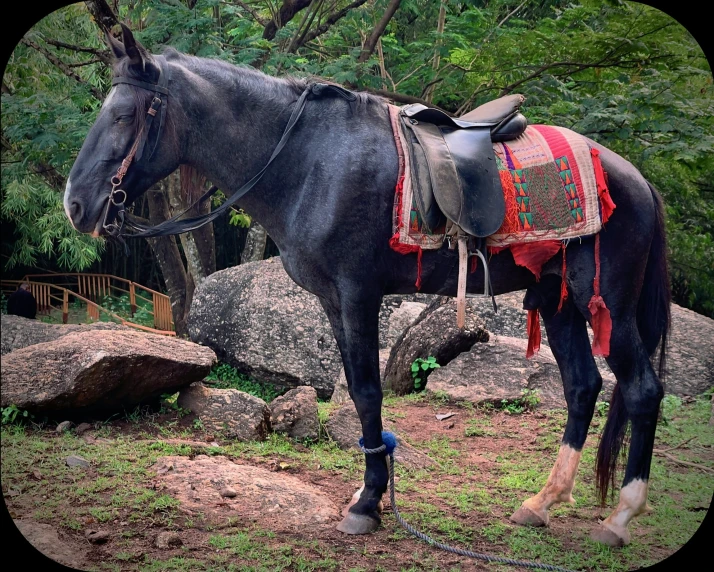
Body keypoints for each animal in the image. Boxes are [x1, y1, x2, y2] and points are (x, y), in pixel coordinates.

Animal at [62, 24, 668, 548]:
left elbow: (368, 392)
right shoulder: (332, 301)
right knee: (583, 388)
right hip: (558, 300)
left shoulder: (358, 293)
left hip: (606, 301)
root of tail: (637, 180)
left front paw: (367, 504)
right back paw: (541, 503)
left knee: (641, 389)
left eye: (123, 115)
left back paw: (620, 517)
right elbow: (356, 390)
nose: (75, 205)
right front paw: (368, 492)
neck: (309, 161)